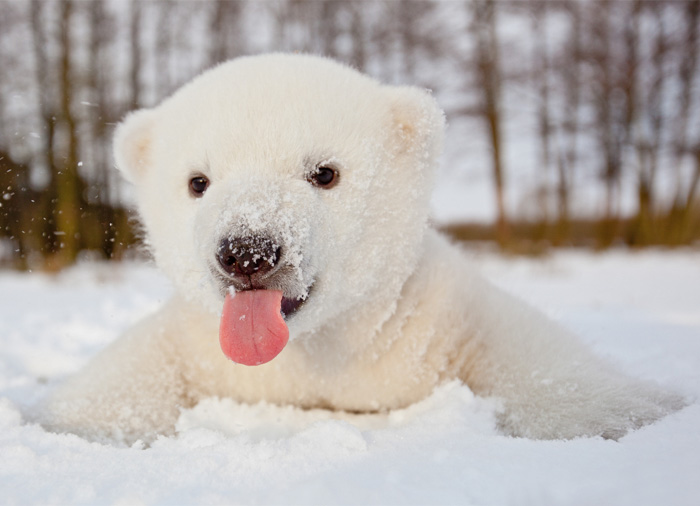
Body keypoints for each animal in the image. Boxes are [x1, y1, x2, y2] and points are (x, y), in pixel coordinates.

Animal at [40, 53, 683, 444]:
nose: (248, 251)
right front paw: (72, 422)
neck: (314, 351)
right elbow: (130, 372)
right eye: (198, 181)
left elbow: (528, 352)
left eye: (324, 172)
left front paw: (631, 412)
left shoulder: (433, 315)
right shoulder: (200, 342)